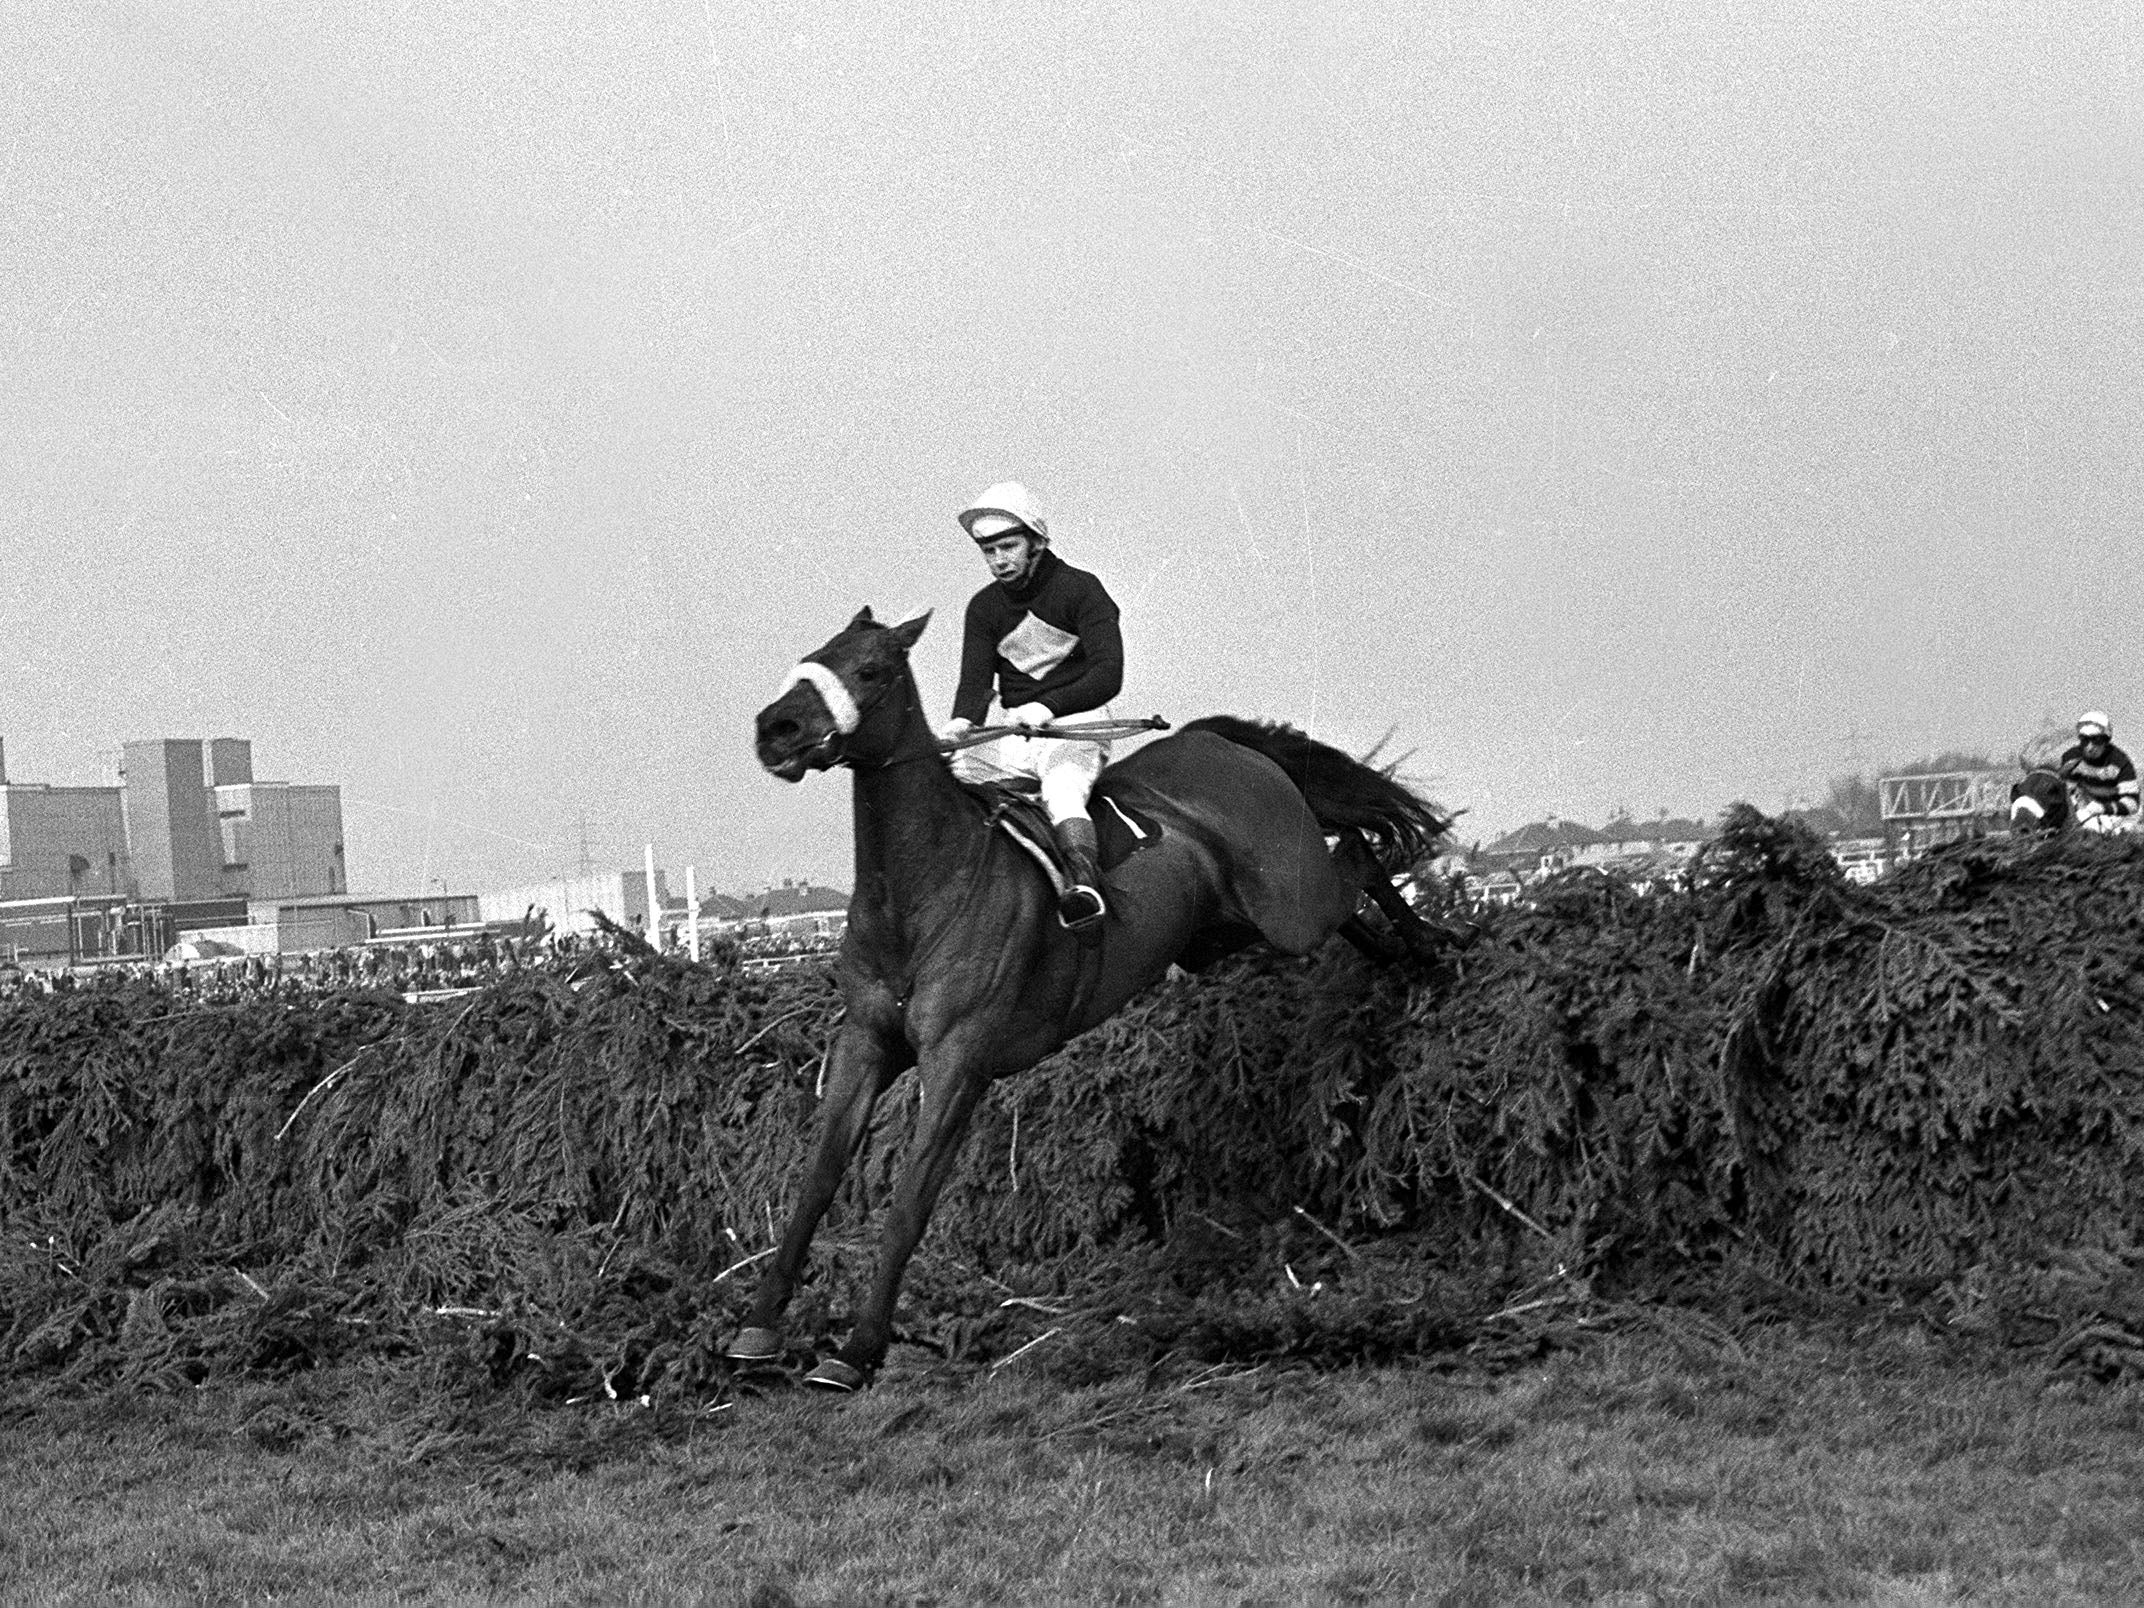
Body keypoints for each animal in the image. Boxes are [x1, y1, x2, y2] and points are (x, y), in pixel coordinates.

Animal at [728, 608, 1449, 1389]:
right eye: (812, 657)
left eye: (870, 669)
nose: (776, 730)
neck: (920, 894)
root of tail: (1215, 742)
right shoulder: (865, 1043)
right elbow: (816, 1180)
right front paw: (757, 1327)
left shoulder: (957, 1061)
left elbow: (911, 1204)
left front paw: (856, 1352)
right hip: (1225, 930)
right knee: (1351, 888)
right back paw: (1401, 956)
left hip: (1290, 904)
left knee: (1360, 857)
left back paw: (1433, 946)